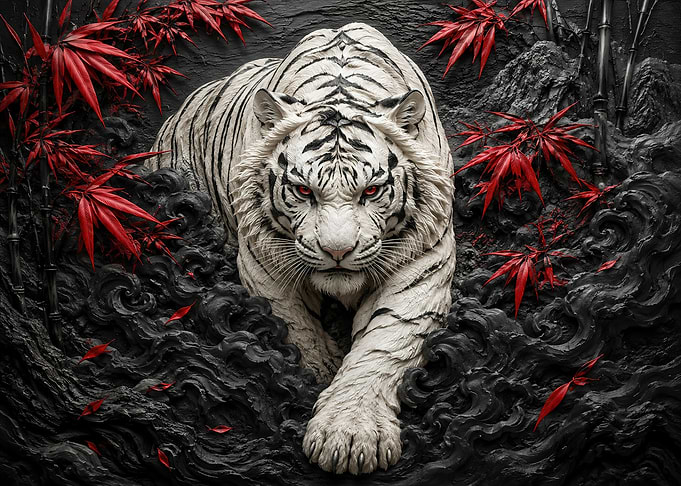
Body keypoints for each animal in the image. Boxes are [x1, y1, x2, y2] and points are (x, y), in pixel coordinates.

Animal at [148, 22, 456, 475]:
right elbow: (297, 331)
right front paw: (321, 377)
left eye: (372, 190)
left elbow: (383, 345)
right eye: (303, 190)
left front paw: (350, 437)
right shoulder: (265, 265)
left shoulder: (422, 264)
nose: (337, 251)